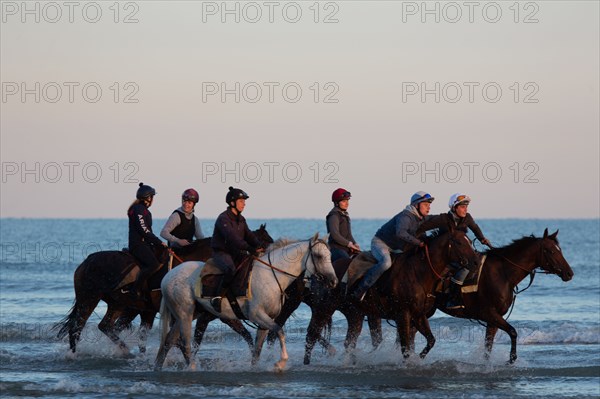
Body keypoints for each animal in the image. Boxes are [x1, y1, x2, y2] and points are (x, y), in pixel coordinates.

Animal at [55, 227, 274, 354]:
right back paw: (75, 355)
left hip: (118, 304)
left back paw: (125, 351)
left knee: (106, 326)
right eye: (265, 242)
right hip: (89, 299)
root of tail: (85, 262)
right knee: (77, 327)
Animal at [154, 233, 338, 374]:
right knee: (184, 343)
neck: (271, 275)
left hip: (187, 315)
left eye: (330, 256)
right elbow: (279, 331)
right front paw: (280, 362)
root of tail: (168, 276)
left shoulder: (264, 322)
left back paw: (158, 367)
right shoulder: (257, 315)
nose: (333, 281)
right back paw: (191, 367)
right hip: (185, 315)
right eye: (319, 256)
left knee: (168, 341)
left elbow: (257, 349)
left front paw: (255, 368)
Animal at [302, 227, 480, 364]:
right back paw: (307, 363)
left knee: (348, 341)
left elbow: (430, 340)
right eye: (459, 242)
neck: (419, 273)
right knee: (311, 334)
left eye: (470, 241)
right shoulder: (403, 314)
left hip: (355, 314)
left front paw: (419, 358)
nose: (476, 261)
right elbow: (405, 346)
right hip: (324, 308)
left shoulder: (419, 315)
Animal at [436, 230, 576, 364]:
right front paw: (512, 358)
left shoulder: (494, 319)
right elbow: (513, 332)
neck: (503, 274)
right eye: (551, 251)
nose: (569, 273)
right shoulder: (488, 314)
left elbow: (488, 346)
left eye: (560, 250)